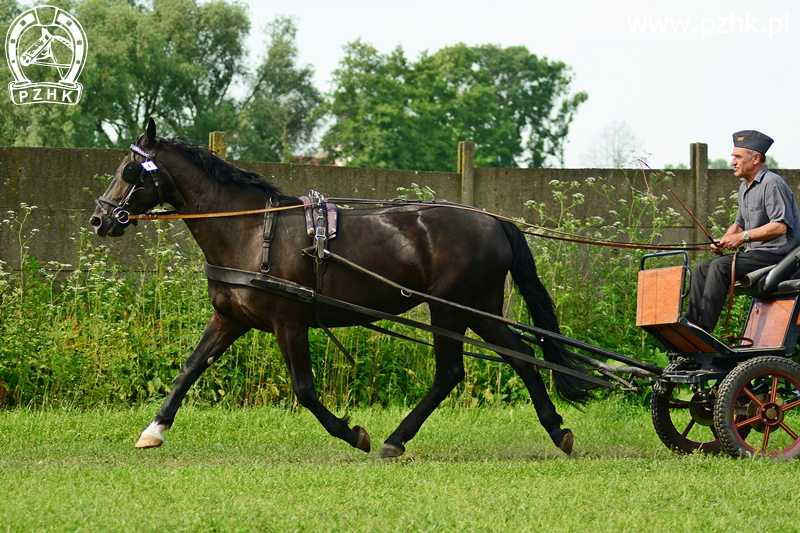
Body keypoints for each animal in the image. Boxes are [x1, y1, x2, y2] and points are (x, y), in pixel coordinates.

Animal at [89, 117, 592, 458]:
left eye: (130, 170)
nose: (99, 219)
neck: (252, 231)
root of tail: (493, 221)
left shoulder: (289, 322)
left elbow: (304, 390)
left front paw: (353, 434)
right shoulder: (230, 318)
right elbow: (189, 369)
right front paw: (153, 430)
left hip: (450, 309)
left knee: (451, 372)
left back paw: (395, 439)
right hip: (477, 308)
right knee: (520, 358)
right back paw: (556, 430)